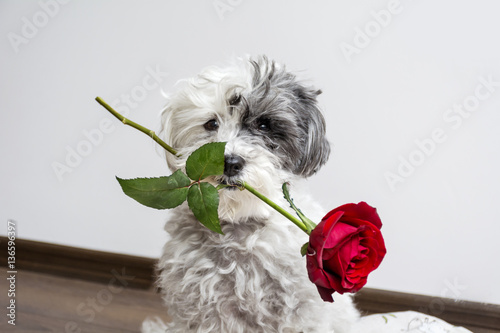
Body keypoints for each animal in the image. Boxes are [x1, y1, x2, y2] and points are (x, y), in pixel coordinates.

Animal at [141, 55, 360, 330]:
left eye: (264, 124)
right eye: (211, 123)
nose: (229, 162)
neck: (240, 225)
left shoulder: (300, 311)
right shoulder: (202, 310)